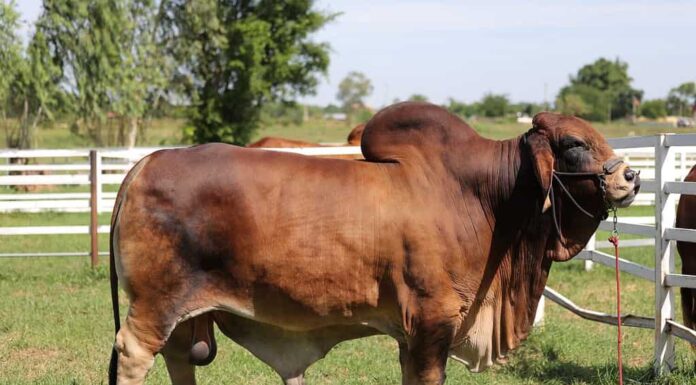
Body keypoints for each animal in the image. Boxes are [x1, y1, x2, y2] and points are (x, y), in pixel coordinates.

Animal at [110, 103, 640, 384]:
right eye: (574, 144)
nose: (631, 177)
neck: (486, 197)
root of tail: (144, 164)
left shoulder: (412, 333)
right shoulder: (432, 321)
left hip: (184, 316)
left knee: (180, 357)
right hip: (155, 305)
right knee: (134, 354)